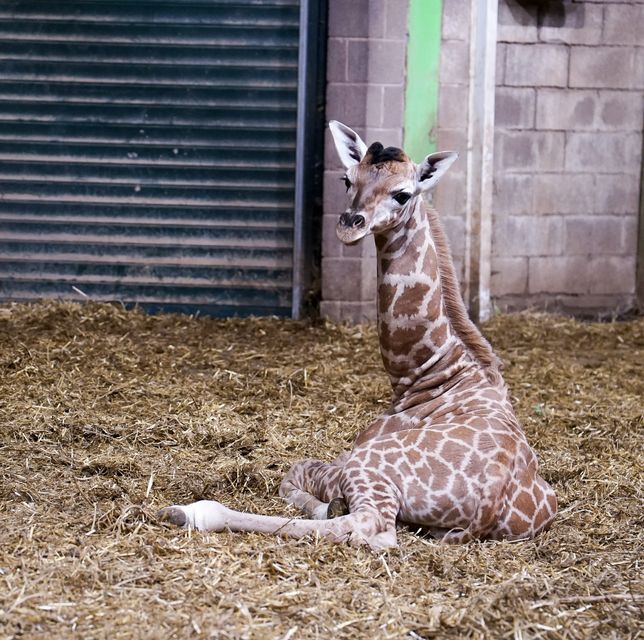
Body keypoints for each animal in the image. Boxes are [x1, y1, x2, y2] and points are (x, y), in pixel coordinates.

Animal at [158, 121, 556, 552]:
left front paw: (321, 504)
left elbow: (293, 473)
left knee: (370, 528)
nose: (350, 225)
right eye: (348, 179)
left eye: (403, 193)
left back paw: (190, 511)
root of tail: (488, 507)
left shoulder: (349, 455)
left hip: (367, 469)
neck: (430, 374)